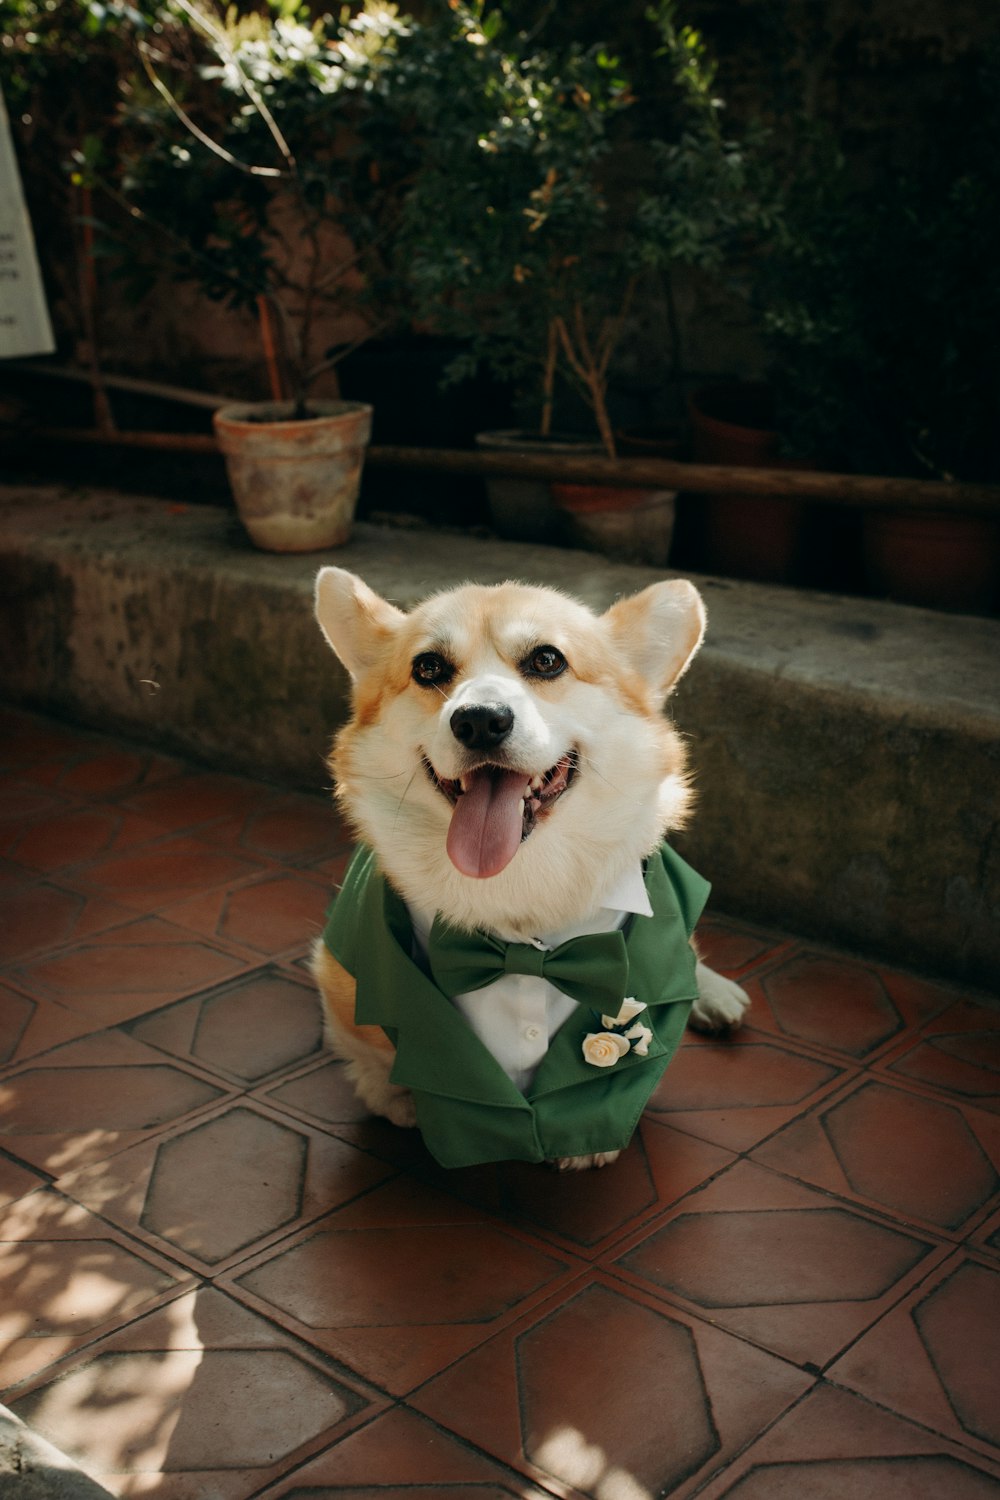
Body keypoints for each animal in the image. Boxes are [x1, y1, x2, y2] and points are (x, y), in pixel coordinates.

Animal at [308, 564, 746, 1170]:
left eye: (546, 660)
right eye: (428, 668)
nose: (479, 722)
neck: (516, 888)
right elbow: (369, 1048)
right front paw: (399, 1098)